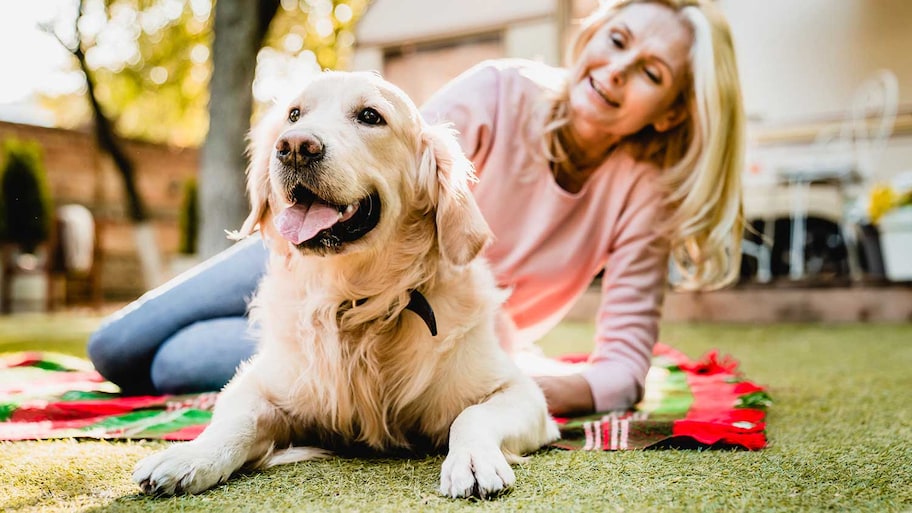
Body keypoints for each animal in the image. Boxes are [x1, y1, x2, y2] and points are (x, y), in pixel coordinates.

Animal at [132, 70, 560, 498]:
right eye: (293, 114)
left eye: (370, 116)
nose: (295, 147)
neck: (356, 303)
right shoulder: (258, 386)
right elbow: (235, 421)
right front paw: (190, 456)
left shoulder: (521, 393)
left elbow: (471, 415)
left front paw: (472, 460)